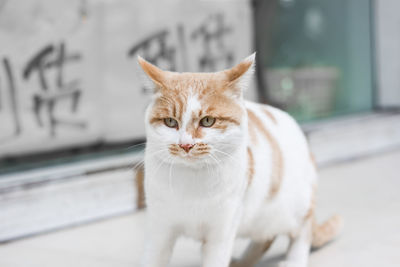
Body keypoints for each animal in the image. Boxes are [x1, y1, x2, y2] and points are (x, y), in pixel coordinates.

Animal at [138, 52, 340, 267]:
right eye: (170, 122)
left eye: (208, 121)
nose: (186, 145)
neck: (192, 183)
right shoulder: (160, 228)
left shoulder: (221, 233)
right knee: (265, 238)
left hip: (295, 207)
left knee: (303, 229)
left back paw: (293, 260)